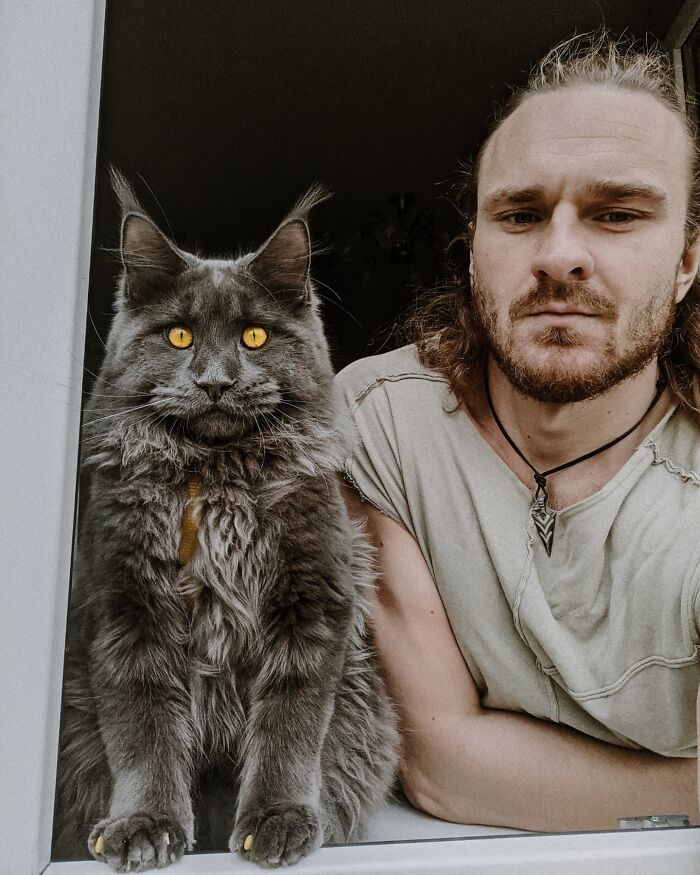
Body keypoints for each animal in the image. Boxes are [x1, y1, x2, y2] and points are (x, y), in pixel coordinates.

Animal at [54, 175, 400, 872]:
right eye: (180, 338)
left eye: (255, 338)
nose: (215, 382)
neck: (215, 479)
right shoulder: (128, 610)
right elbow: (145, 732)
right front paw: (144, 824)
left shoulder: (311, 603)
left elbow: (288, 728)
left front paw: (277, 819)